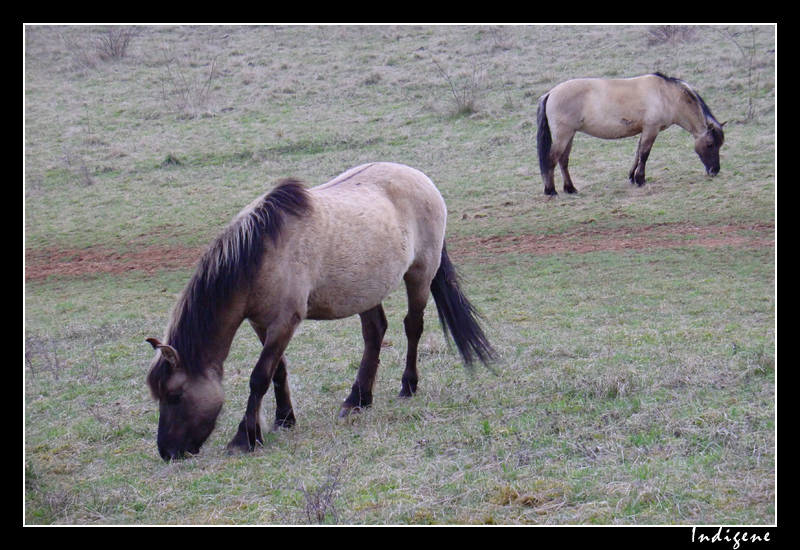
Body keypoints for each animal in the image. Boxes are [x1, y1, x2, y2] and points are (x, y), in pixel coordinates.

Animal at [145, 163, 494, 462]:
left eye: (175, 396)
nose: (167, 452)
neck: (262, 253)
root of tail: (422, 179)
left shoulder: (284, 322)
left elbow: (259, 377)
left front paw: (245, 438)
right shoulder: (262, 324)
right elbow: (278, 371)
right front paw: (283, 419)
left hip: (420, 275)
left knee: (413, 327)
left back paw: (407, 387)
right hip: (367, 290)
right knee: (375, 333)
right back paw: (358, 399)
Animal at [536, 72, 724, 195]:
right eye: (710, 144)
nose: (715, 170)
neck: (666, 95)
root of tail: (550, 93)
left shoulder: (644, 130)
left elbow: (638, 153)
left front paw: (632, 178)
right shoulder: (651, 129)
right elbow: (644, 154)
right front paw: (641, 179)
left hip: (570, 135)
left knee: (563, 160)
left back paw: (570, 188)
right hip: (563, 135)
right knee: (552, 159)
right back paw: (550, 190)